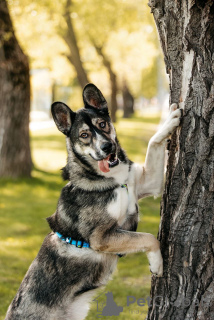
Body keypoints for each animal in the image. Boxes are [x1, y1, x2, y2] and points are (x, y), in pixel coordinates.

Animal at [5, 84, 181, 318]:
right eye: (84, 135)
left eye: (103, 124)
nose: (107, 147)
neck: (113, 181)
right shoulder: (101, 237)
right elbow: (149, 238)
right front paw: (157, 264)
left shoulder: (149, 182)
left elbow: (154, 142)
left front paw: (170, 119)